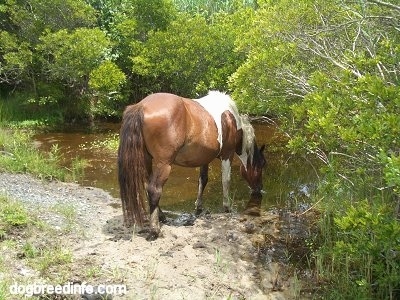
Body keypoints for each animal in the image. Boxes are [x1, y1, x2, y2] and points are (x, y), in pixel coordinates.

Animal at [116, 90, 266, 240]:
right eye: (261, 166)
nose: (259, 189)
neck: (230, 118)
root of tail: (141, 106)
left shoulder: (205, 158)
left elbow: (203, 180)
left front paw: (199, 206)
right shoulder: (227, 155)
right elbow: (226, 181)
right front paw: (227, 207)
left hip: (147, 159)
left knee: (148, 187)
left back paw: (161, 217)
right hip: (163, 163)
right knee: (154, 190)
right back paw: (155, 230)